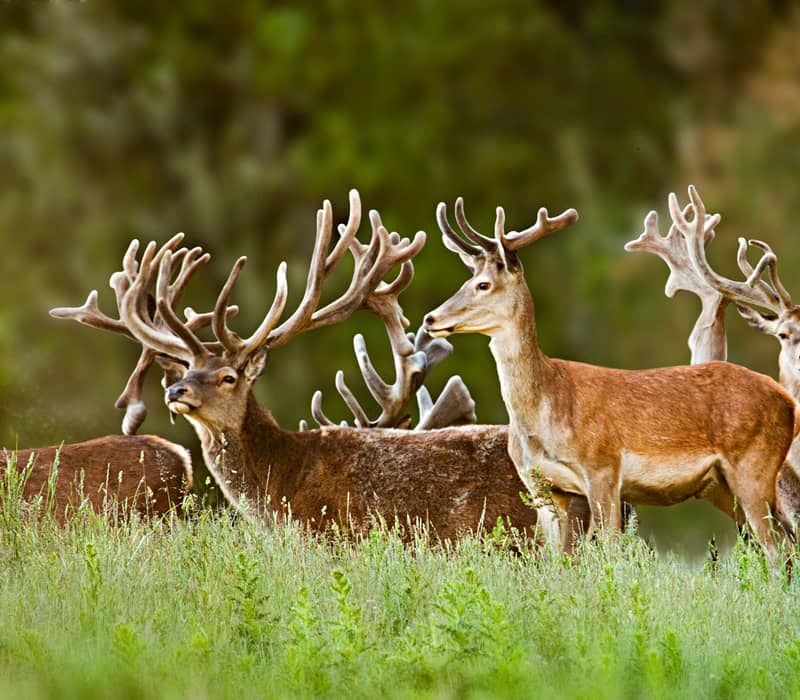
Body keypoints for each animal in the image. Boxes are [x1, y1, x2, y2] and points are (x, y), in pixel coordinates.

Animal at [423, 188, 800, 562]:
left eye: (483, 285)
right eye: (468, 280)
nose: (430, 318)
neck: (546, 409)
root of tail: (788, 403)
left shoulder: (603, 470)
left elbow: (609, 552)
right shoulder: (541, 486)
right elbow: (557, 561)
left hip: (754, 469)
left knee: (778, 550)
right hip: (722, 486)